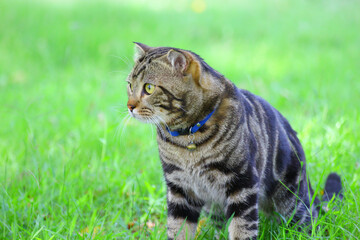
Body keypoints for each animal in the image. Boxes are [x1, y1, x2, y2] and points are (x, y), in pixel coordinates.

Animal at [125, 42, 342, 239]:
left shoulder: (242, 184)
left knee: (311, 222)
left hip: (292, 202)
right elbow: (178, 229)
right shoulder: (180, 189)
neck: (187, 138)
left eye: (149, 88)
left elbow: (241, 229)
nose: (129, 106)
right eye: (129, 85)